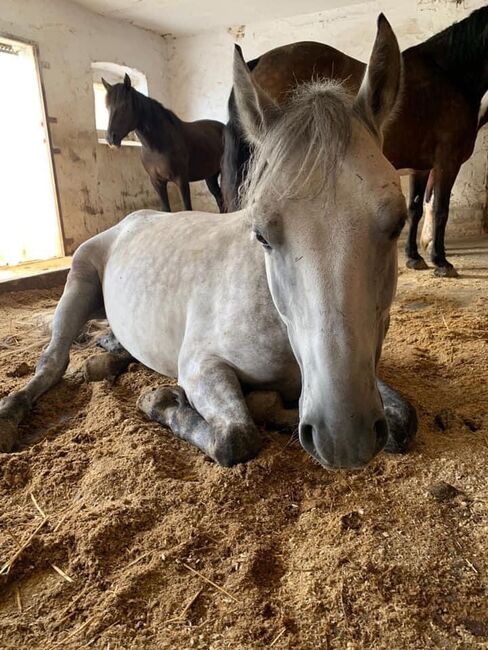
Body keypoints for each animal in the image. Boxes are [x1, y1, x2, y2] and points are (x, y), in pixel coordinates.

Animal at [104, 74, 225, 210]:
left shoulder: (181, 180)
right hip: (210, 175)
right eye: (107, 107)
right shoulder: (157, 182)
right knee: (219, 199)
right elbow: (166, 209)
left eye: (125, 106)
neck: (156, 146)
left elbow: (187, 208)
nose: (110, 138)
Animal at [222, 7, 488, 276]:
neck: (449, 77)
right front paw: (440, 261)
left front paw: (414, 256)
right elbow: (441, 208)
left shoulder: (421, 166)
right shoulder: (447, 160)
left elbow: (415, 209)